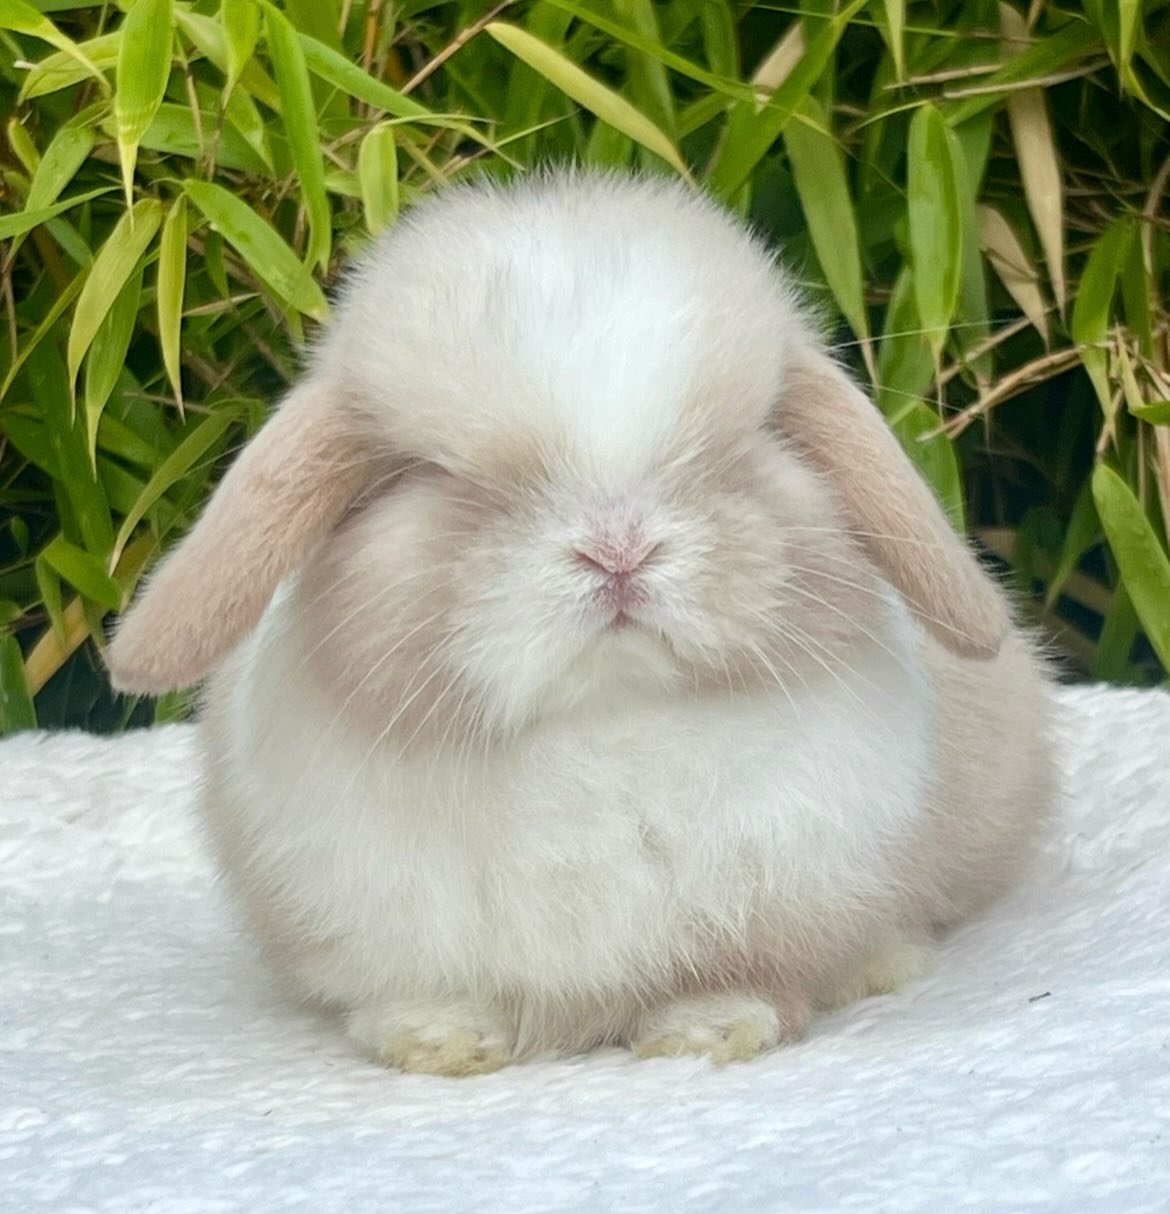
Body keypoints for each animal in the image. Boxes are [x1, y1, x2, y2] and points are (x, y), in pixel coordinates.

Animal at [107, 170, 1054, 1076]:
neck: (607, 720)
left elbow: (739, 977)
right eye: (427, 474)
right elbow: (422, 996)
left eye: (746, 442)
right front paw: (441, 1045)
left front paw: (708, 1034)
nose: (619, 549)